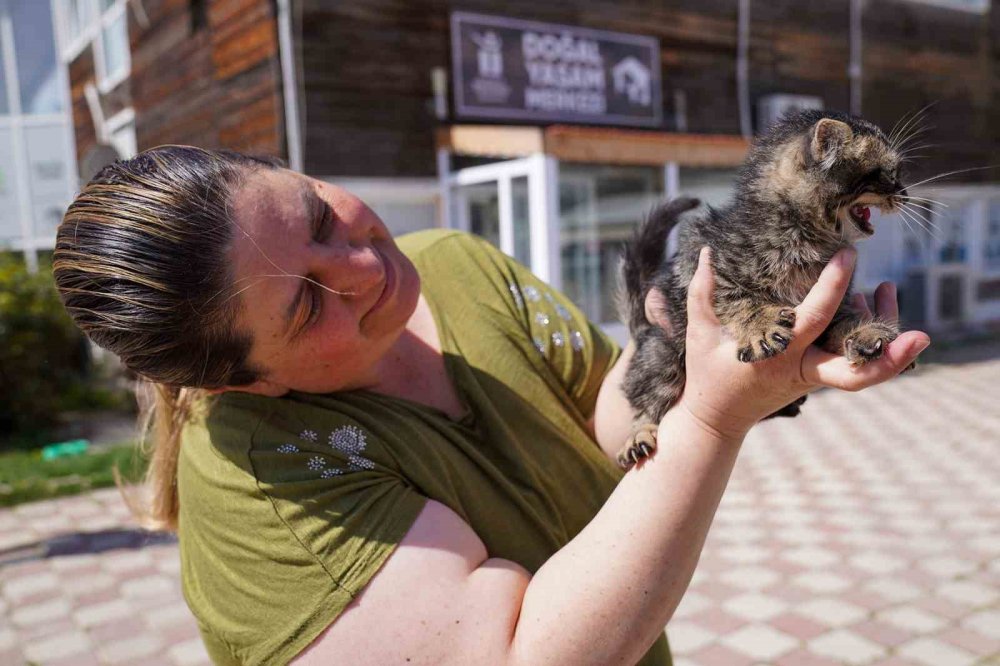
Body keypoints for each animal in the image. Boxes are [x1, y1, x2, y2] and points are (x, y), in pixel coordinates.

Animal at [612, 109, 912, 470]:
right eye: (885, 174)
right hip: (663, 348)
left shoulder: (835, 306)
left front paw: (865, 333)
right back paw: (637, 434)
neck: (804, 235)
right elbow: (741, 300)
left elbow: (843, 321)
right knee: (646, 394)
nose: (905, 193)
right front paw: (761, 328)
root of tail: (642, 331)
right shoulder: (711, 265)